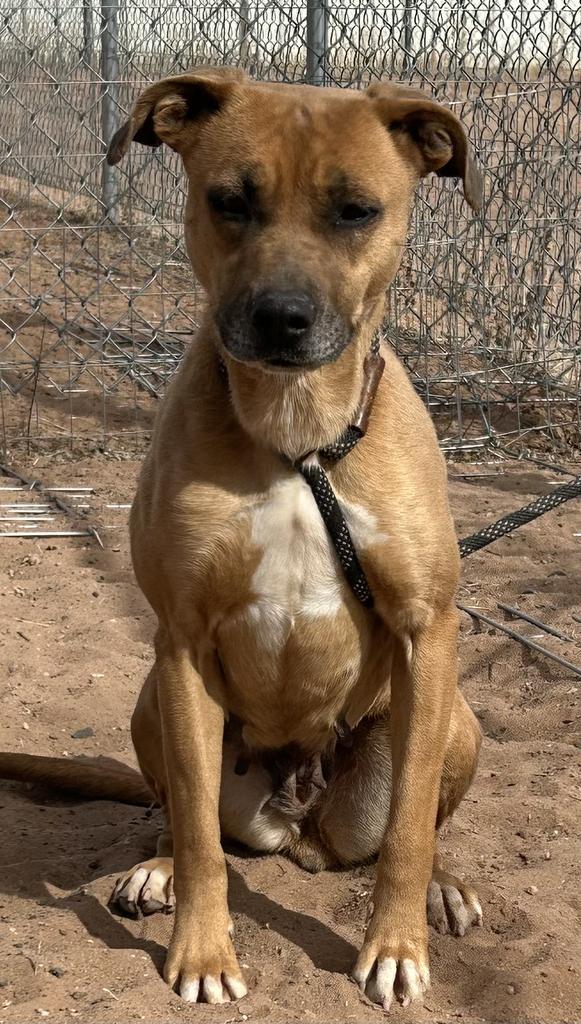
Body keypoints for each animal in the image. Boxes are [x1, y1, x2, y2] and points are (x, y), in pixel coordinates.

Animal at [0, 70, 483, 1007]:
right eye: (229, 201)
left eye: (355, 211)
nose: (281, 318)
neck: (296, 432)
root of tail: (300, 823)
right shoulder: (182, 644)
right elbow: (195, 831)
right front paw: (201, 951)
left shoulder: (426, 628)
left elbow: (409, 830)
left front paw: (396, 944)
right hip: (152, 701)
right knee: (179, 817)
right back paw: (152, 870)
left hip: (455, 721)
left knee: (418, 825)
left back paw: (443, 888)